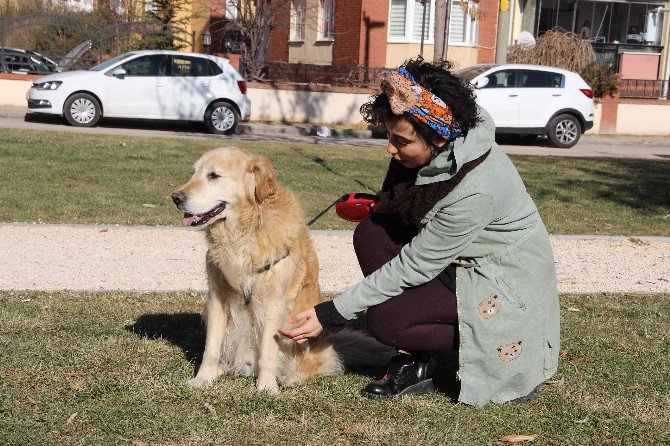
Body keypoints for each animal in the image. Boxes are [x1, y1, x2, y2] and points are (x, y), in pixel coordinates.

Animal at [171, 147, 344, 394]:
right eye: (194, 172)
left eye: (213, 175)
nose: (176, 198)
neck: (243, 232)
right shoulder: (217, 297)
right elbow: (210, 348)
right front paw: (203, 378)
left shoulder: (273, 304)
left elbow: (268, 352)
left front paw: (267, 387)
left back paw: (289, 378)